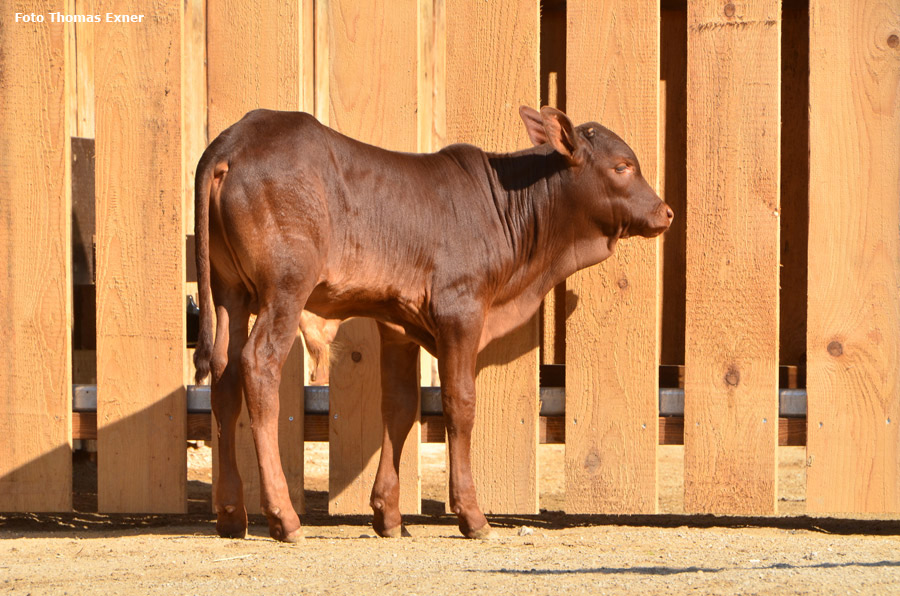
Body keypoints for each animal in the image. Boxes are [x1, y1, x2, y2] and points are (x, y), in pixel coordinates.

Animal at [193, 105, 672, 544]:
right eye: (623, 166)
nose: (665, 212)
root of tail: (233, 141)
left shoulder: (397, 324)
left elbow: (401, 406)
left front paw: (387, 514)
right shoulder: (461, 310)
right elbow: (460, 403)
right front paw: (472, 515)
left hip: (229, 291)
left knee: (224, 374)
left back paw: (232, 514)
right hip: (286, 287)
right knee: (258, 365)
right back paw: (283, 517)